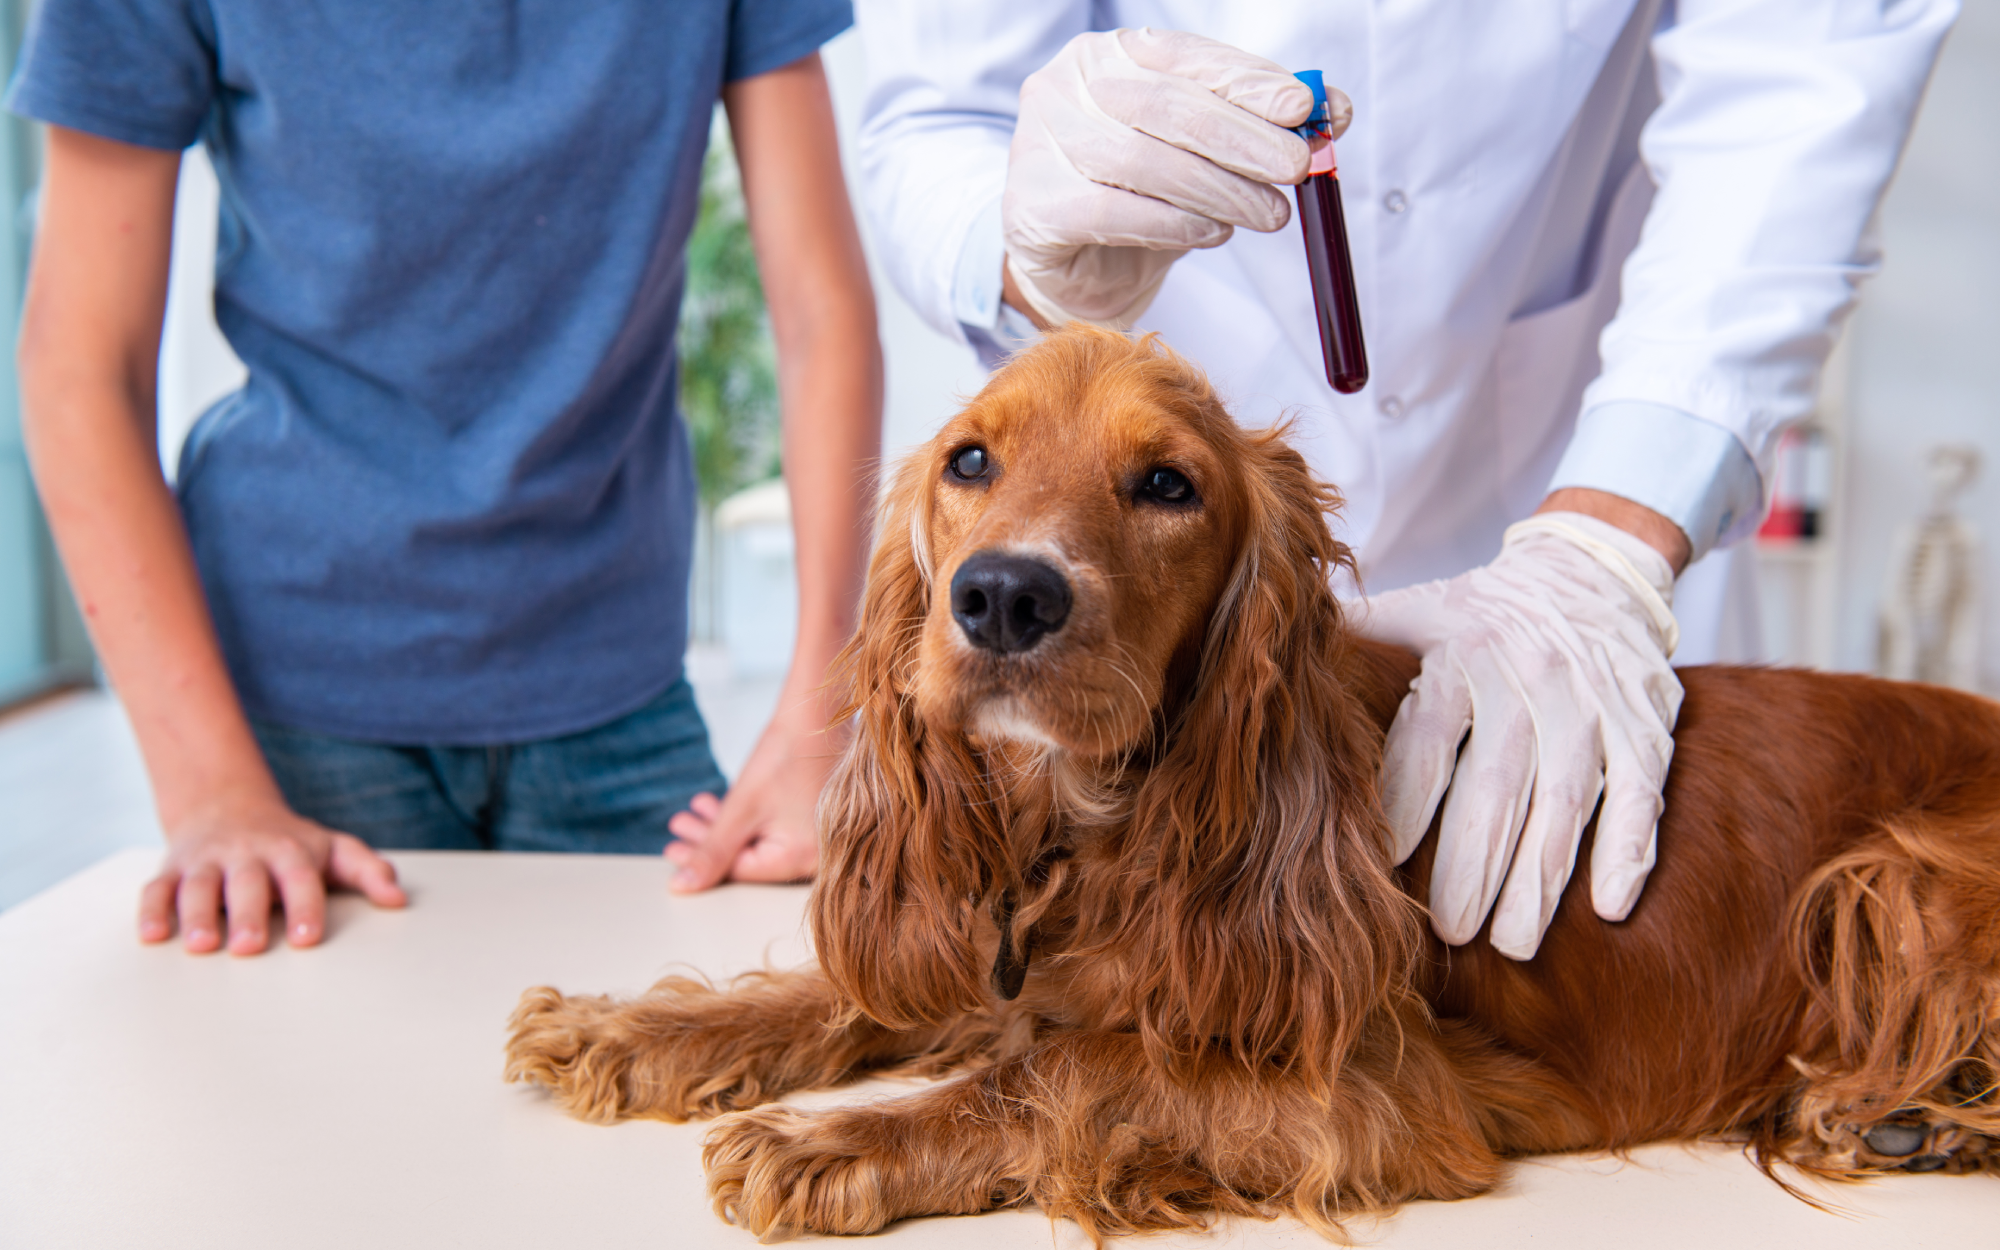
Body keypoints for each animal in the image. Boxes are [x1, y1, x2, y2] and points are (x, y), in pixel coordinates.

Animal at [500, 324, 2000, 1240]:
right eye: (970, 459)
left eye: (1168, 485)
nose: (1001, 594)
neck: (1091, 824)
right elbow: (855, 990)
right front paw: (633, 1028)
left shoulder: (1376, 1093)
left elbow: (1060, 1071)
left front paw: (828, 1144)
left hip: (1895, 874)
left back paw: (1908, 1108)